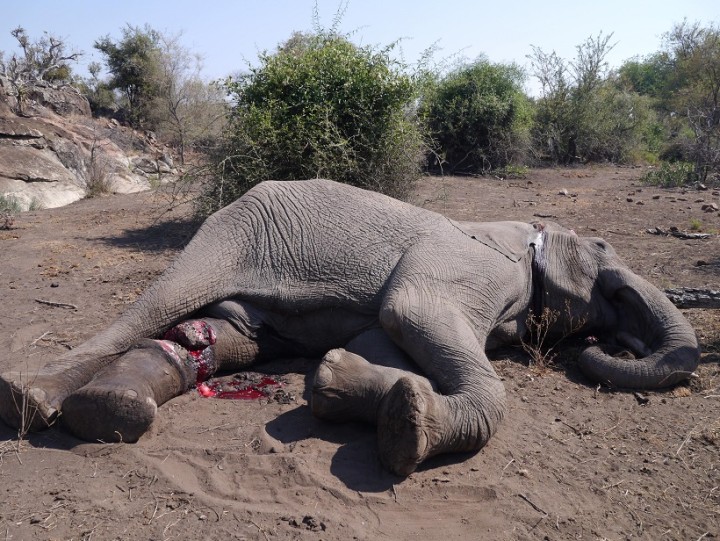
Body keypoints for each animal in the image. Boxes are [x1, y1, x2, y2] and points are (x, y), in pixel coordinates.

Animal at [0, 178, 696, 472]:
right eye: (603, 249)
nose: (610, 345)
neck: (530, 233)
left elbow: (377, 338)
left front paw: (338, 383)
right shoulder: (470, 267)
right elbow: (410, 312)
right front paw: (408, 431)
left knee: (215, 336)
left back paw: (110, 410)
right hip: (233, 231)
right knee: (159, 304)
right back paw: (31, 398)